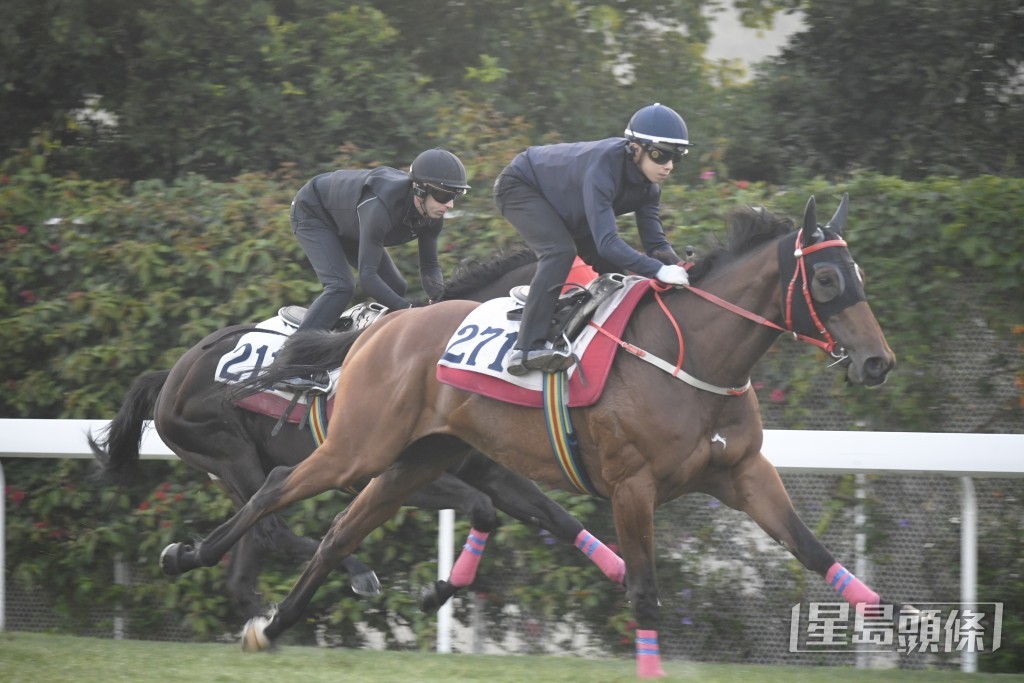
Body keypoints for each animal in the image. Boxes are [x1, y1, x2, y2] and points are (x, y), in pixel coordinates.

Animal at [88, 244, 626, 620]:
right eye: (576, 292)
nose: (576, 346)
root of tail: (171, 375)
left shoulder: (484, 468)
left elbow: (554, 517)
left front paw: (619, 571)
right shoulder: (397, 471)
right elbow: (482, 508)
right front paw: (435, 590)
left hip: (235, 470)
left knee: (253, 547)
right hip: (227, 453)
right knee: (272, 526)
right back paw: (355, 574)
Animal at [158, 194, 897, 677]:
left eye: (861, 275)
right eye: (826, 277)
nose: (876, 362)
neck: (692, 358)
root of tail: (380, 329)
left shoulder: (743, 473)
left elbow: (813, 549)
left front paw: (893, 623)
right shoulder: (630, 486)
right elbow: (643, 588)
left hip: (414, 459)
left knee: (340, 529)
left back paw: (272, 624)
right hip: (355, 447)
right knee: (274, 494)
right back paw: (187, 556)